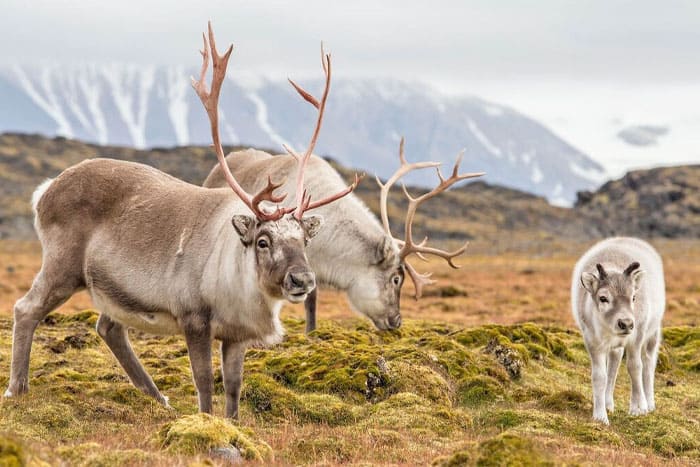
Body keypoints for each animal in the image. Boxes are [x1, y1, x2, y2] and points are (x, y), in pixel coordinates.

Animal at [572, 238, 664, 424]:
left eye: (633, 297)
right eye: (603, 298)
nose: (626, 323)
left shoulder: (636, 337)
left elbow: (635, 368)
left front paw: (638, 408)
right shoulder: (592, 341)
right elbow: (600, 376)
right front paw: (600, 416)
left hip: (653, 333)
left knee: (648, 364)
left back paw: (649, 403)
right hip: (616, 346)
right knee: (614, 364)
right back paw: (608, 403)